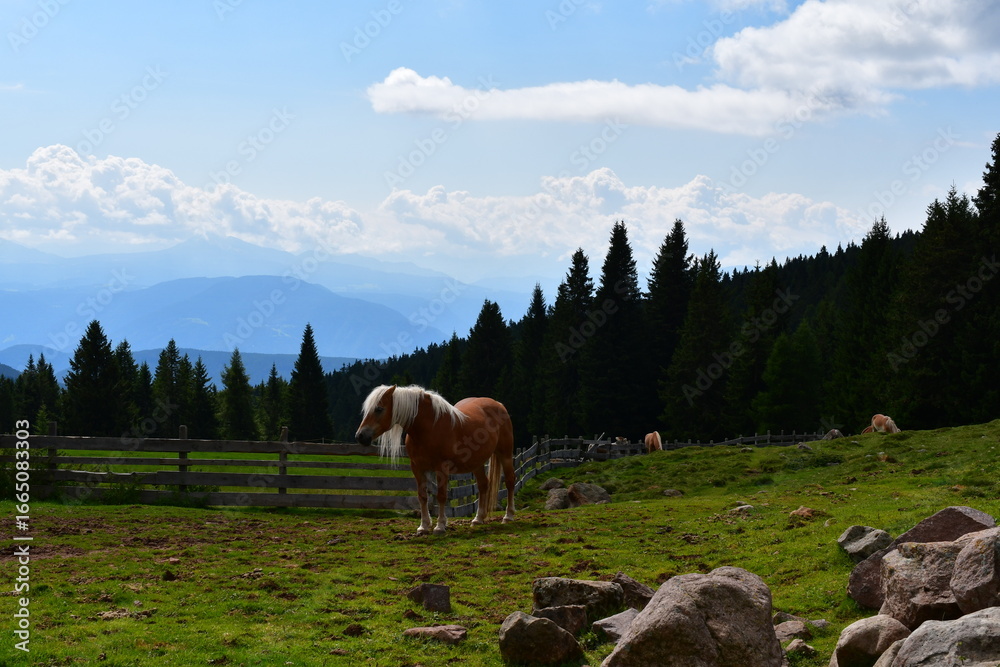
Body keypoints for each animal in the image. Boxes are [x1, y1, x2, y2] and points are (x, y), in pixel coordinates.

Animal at [355, 384, 515, 536]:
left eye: (379, 409)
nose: (360, 436)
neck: (430, 427)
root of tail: (498, 404)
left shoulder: (442, 467)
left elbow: (441, 495)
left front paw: (440, 526)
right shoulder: (417, 468)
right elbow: (422, 496)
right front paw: (424, 526)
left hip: (505, 455)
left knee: (509, 482)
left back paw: (508, 516)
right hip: (476, 463)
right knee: (483, 485)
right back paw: (478, 519)